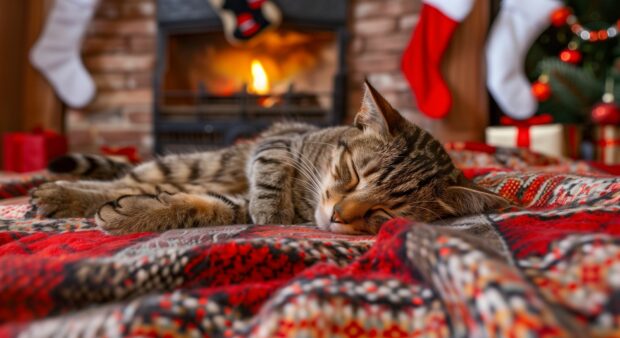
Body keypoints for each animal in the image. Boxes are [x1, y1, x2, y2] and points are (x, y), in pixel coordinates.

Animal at [30, 82, 504, 235]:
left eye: (385, 212)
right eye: (352, 175)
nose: (338, 214)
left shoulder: (231, 201)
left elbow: (203, 207)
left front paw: (138, 215)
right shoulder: (279, 144)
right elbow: (271, 172)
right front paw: (272, 208)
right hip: (201, 163)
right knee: (129, 177)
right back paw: (59, 192)